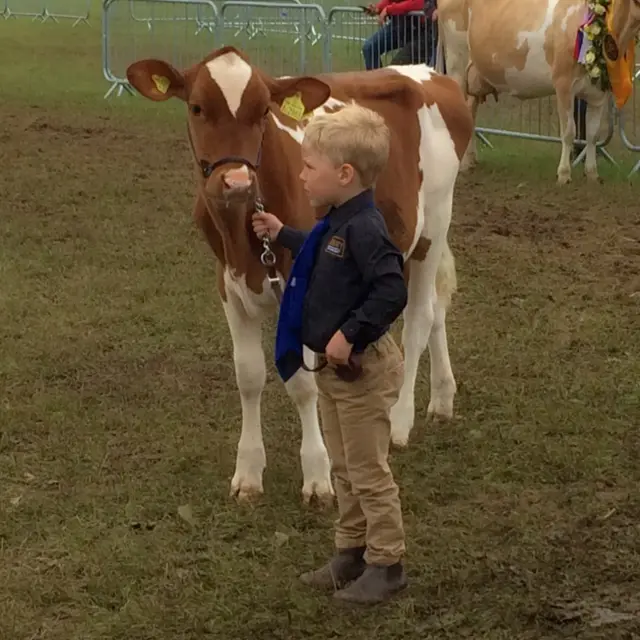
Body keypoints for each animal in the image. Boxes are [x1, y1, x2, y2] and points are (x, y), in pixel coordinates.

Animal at [126, 45, 476, 504]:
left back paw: (401, 419)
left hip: (434, 223)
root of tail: (428, 73)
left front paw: (317, 474)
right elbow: (249, 376)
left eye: (263, 112)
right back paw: (442, 398)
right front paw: (248, 471)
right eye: (197, 107)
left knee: (419, 319)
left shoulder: (305, 289)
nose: (236, 181)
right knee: (435, 309)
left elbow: (303, 383)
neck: (244, 236)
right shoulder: (228, 284)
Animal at [436, 0, 640, 182]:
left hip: (476, 74)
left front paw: (592, 174)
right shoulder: (563, 84)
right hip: (456, 61)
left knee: (470, 111)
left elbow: (593, 134)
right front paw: (564, 174)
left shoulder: (598, 94)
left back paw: (470, 161)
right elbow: (569, 131)